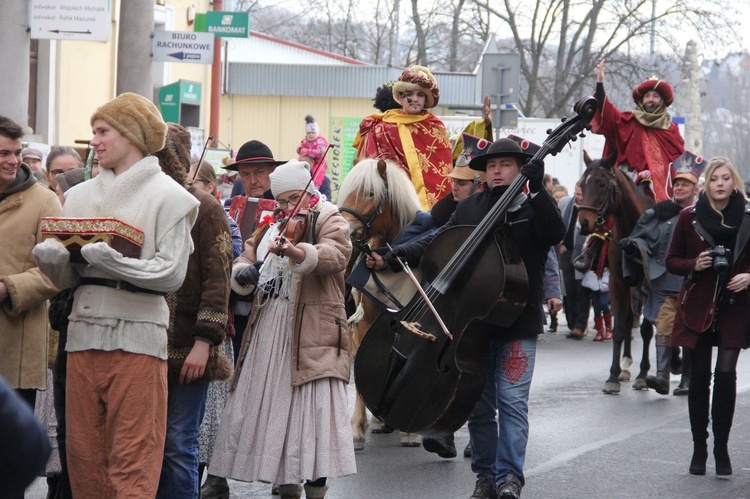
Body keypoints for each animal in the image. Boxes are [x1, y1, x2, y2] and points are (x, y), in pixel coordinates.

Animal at [580, 152, 656, 394]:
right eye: (581, 184)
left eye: (602, 184)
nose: (583, 223)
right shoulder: (617, 282)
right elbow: (620, 328)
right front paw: (613, 376)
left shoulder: (649, 285)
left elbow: (647, 329)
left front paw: (643, 375)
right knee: (630, 317)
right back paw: (625, 365)